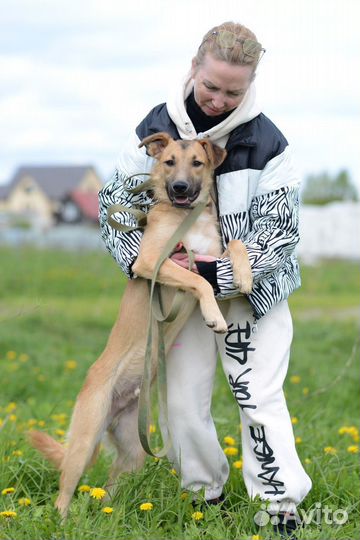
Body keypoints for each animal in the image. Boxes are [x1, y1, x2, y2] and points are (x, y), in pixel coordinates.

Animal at [28, 132, 253, 520]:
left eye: (197, 163)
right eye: (168, 162)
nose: (179, 187)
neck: (186, 218)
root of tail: (118, 404)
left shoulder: (212, 255)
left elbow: (236, 246)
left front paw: (245, 276)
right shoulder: (152, 261)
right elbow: (199, 281)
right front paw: (213, 316)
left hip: (134, 452)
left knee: (109, 489)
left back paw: (109, 517)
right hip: (84, 443)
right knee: (64, 492)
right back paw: (63, 522)